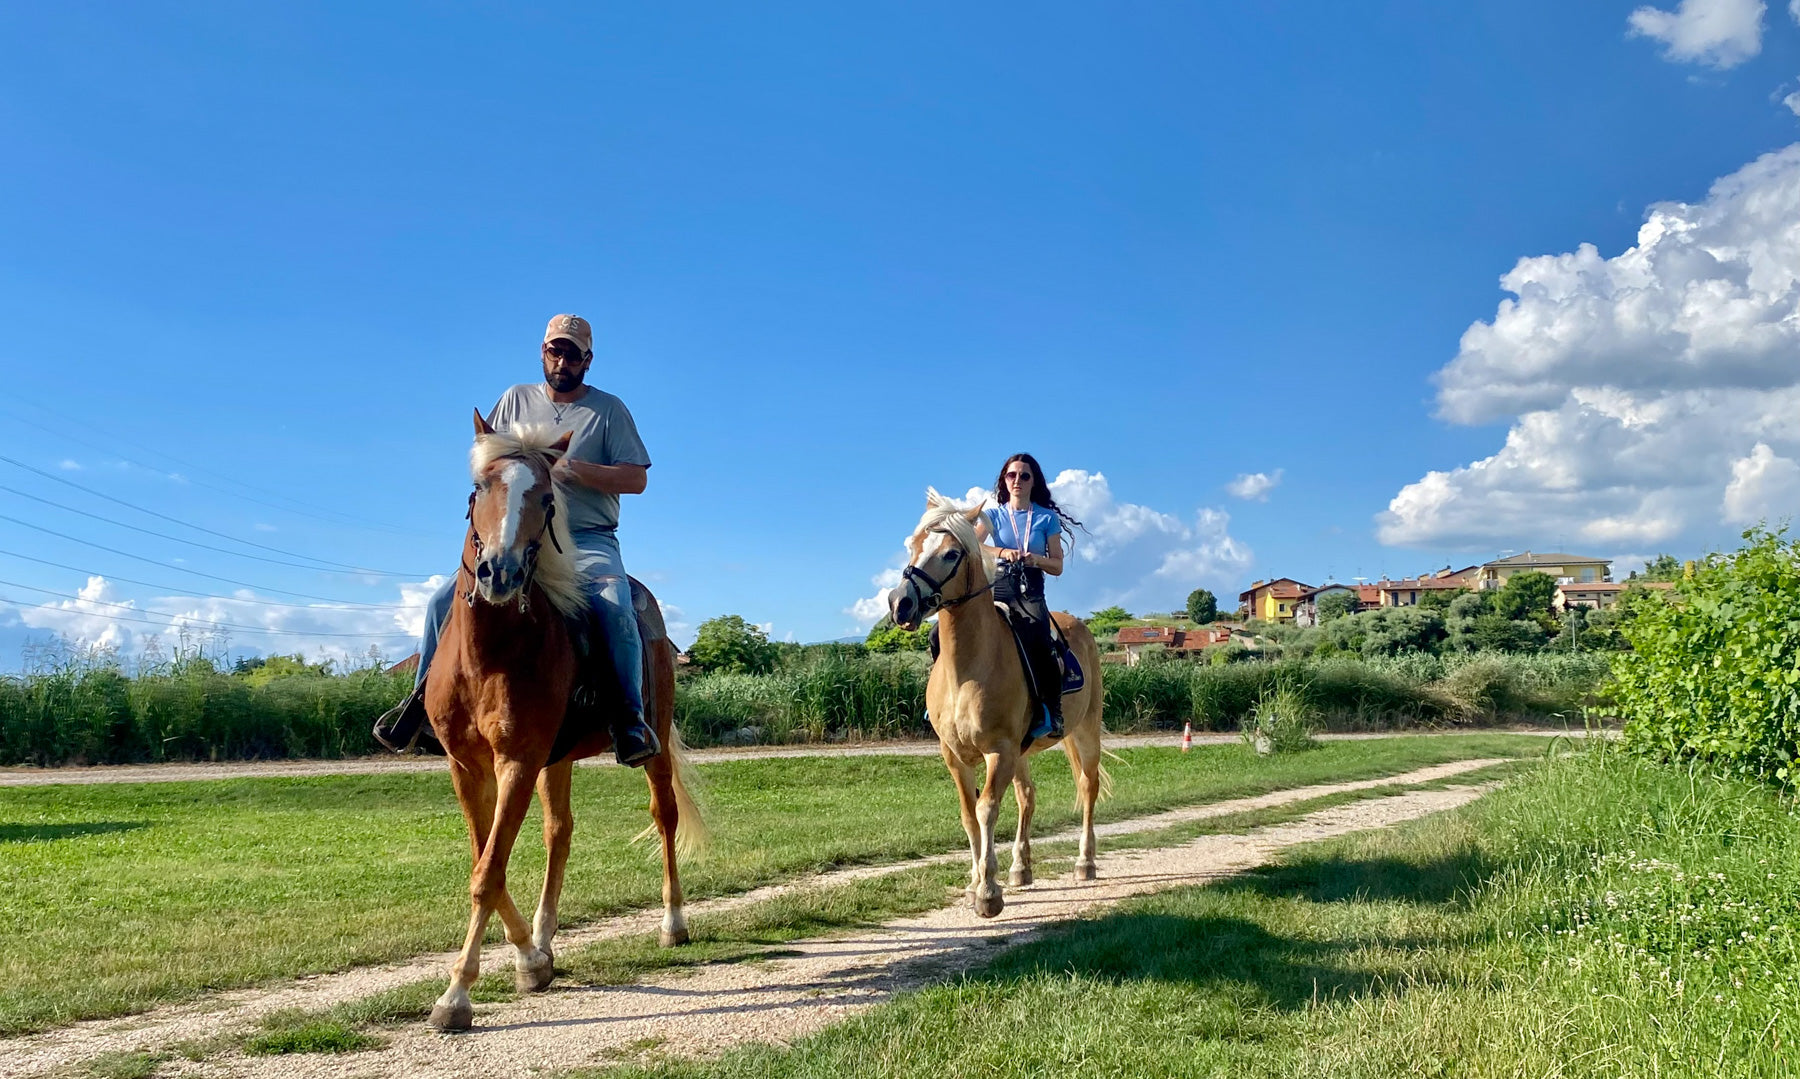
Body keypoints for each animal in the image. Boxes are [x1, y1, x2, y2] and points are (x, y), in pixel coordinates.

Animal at [421, 412, 702, 1030]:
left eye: (548, 498)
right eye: (479, 487)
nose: (498, 573)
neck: (493, 650)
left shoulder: (518, 761)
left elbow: (488, 873)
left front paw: (456, 995)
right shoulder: (467, 766)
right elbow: (487, 861)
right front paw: (531, 957)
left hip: (650, 745)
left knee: (665, 816)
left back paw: (673, 921)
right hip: (559, 761)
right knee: (559, 832)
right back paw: (546, 937)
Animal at [889, 489, 1108, 918]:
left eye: (951, 554)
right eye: (913, 545)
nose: (900, 603)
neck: (968, 668)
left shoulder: (999, 750)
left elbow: (986, 809)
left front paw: (988, 894)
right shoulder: (954, 756)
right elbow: (968, 815)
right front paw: (976, 883)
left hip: (1084, 731)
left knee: (1087, 787)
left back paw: (1084, 862)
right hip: (1024, 752)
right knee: (1027, 796)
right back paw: (1021, 869)